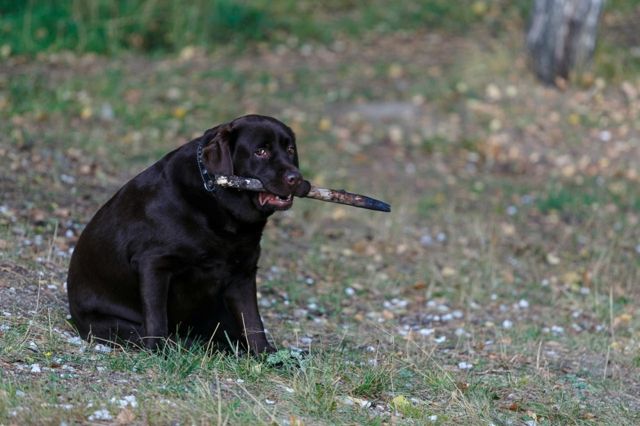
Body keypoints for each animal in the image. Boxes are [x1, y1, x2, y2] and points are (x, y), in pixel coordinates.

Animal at [67, 115, 310, 354]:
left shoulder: (243, 275)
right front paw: (158, 351)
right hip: (114, 324)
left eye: (290, 149)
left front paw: (265, 353)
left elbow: (252, 321)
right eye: (261, 151)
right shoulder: (153, 263)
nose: (296, 178)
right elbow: (156, 317)